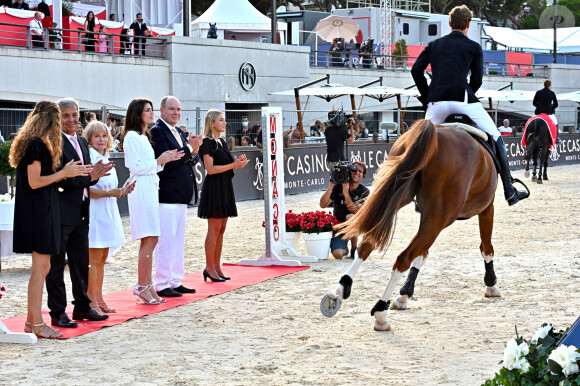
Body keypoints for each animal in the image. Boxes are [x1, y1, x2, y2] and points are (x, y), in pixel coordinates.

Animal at [324, 119, 500, 330]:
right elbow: (486, 248)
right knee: (403, 258)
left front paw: (404, 295)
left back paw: (340, 290)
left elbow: (422, 255)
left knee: (367, 245)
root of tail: (433, 132)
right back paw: (381, 312)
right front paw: (491, 284)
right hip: (439, 219)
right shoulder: (487, 208)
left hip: (398, 197)